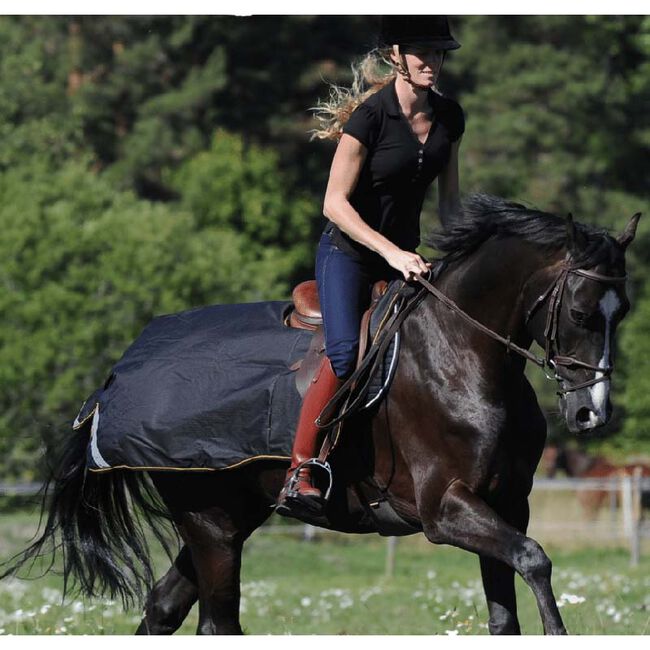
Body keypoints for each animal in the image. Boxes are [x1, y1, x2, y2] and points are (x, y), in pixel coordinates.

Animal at [2, 194, 640, 635]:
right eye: (582, 312)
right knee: (216, 623)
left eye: (624, 311)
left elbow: (505, 612)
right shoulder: (447, 508)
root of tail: (117, 377)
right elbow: (535, 559)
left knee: (163, 608)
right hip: (209, 521)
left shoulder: (507, 503)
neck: (464, 354)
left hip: (229, 515)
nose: (592, 413)